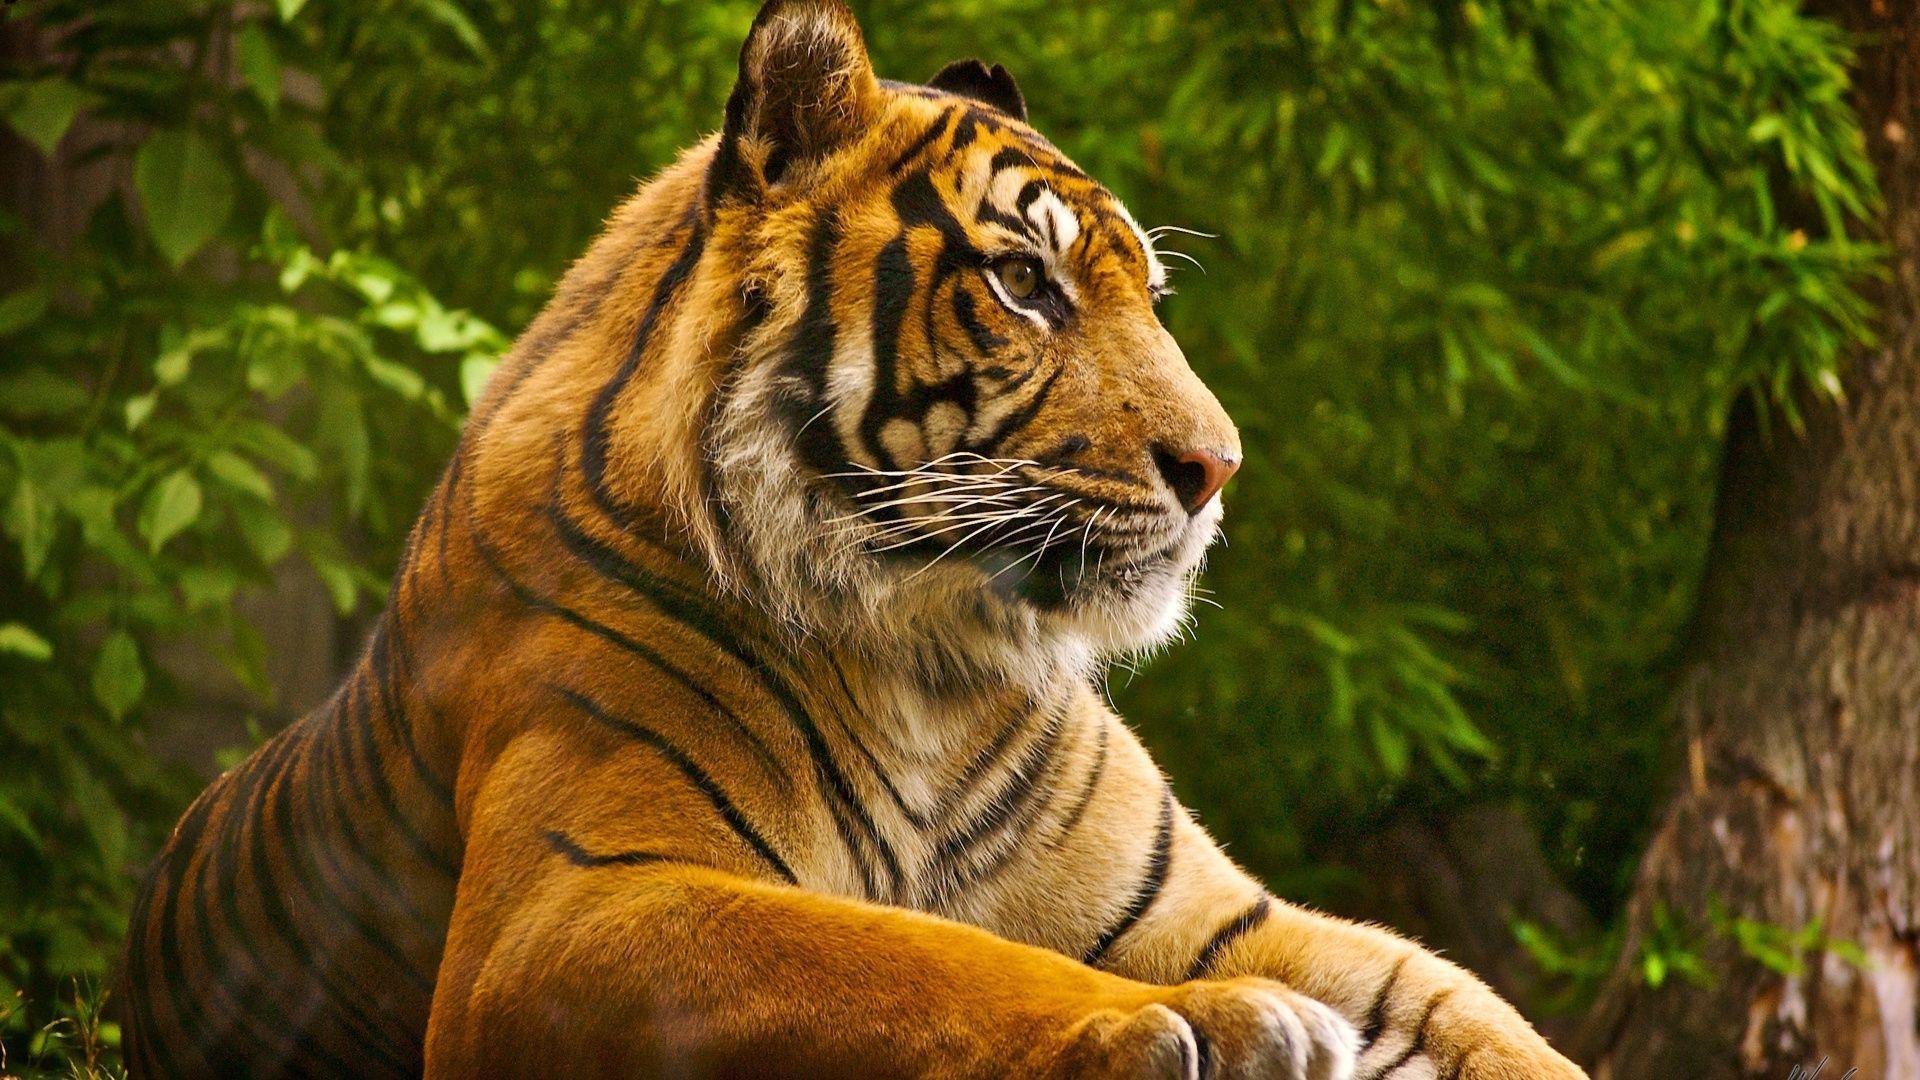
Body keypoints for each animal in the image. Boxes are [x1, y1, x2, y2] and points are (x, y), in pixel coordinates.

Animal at [119, 2, 1589, 1077]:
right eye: (1025, 281)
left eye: (1149, 297)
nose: (1219, 467)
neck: (935, 658)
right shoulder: (571, 907)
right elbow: (919, 959)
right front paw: (1200, 1025)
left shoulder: (1215, 911)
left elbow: (1468, 1006)